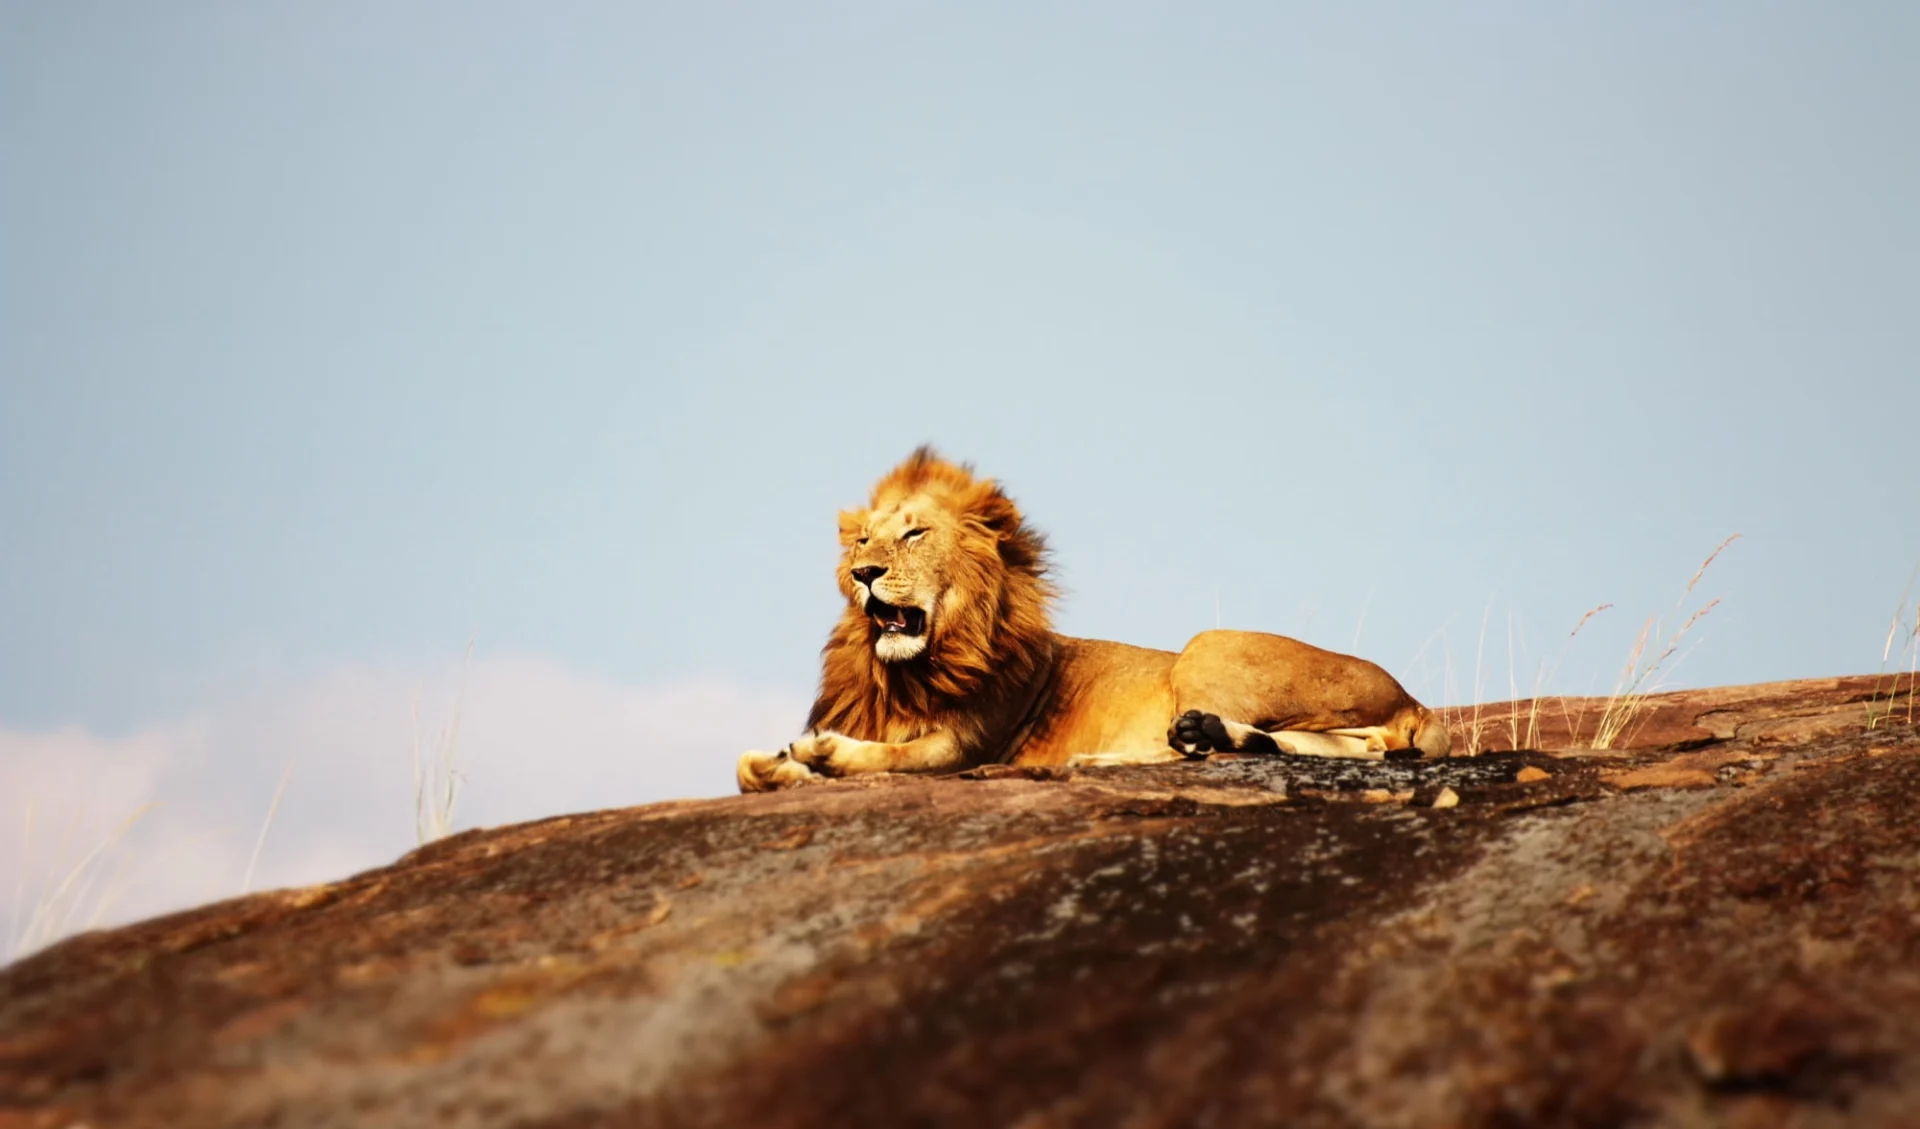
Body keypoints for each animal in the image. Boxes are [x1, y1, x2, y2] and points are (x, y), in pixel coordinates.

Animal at [736, 447, 1450, 792]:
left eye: (914, 534)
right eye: (862, 541)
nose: (864, 573)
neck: (905, 673)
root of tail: (1415, 700)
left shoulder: (965, 747)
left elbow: (889, 756)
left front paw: (822, 752)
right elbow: (746, 767)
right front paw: (780, 764)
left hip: (1207, 646)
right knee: (1345, 747)